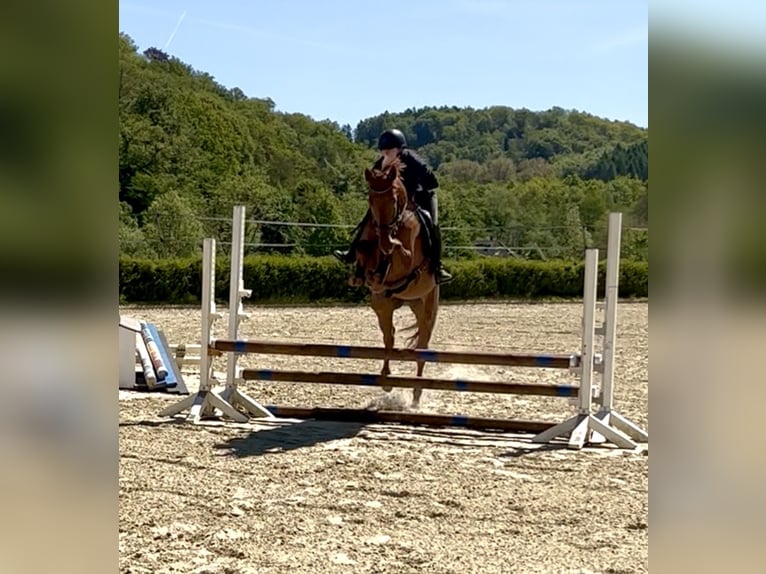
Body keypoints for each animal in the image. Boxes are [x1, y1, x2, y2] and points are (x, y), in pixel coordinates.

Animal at [353, 159, 440, 409]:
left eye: (393, 199)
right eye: (371, 199)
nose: (383, 237)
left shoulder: (407, 258)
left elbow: (398, 249)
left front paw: (388, 251)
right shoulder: (368, 242)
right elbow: (364, 250)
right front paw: (367, 273)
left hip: (428, 302)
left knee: (422, 345)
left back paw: (417, 393)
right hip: (386, 305)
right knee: (389, 336)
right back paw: (386, 379)